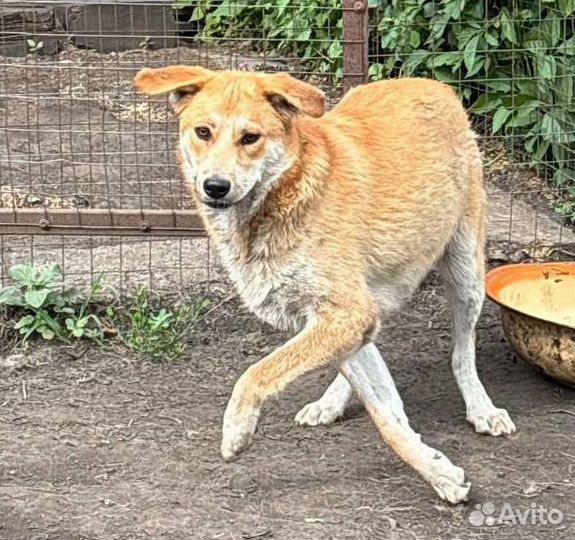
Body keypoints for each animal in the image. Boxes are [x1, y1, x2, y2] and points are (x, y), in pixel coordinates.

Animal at [135, 66, 516, 502]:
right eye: (203, 132)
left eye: (250, 137)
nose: (215, 186)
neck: (284, 195)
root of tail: (427, 82)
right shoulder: (334, 319)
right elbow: (388, 418)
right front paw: (438, 472)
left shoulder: (348, 315)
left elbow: (255, 374)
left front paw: (236, 430)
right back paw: (330, 402)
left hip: (467, 276)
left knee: (462, 352)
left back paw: (482, 408)